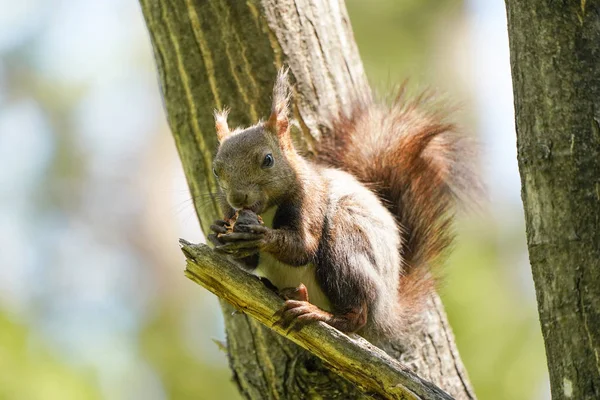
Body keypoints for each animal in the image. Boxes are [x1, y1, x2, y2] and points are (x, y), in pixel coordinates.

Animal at [206, 69, 478, 340]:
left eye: (268, 160)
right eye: (216, 170)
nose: (238, 199)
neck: (268, 208)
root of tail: (387, 311)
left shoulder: (310, 201)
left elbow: (303, 248)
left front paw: (262, 236)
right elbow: (249, 261)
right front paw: (217, 231)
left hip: (345, 248)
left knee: (356, 314)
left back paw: (320, 313)